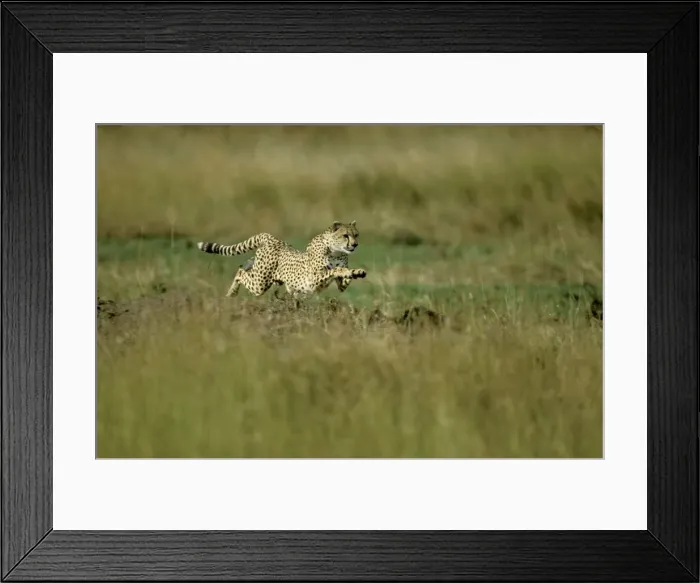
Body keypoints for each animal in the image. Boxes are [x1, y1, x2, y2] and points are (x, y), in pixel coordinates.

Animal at [197, 221, 367, 298]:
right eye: (345, 235)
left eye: (356, 235)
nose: (355, 244)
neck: (336, 251)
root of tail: (272, 238)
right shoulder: (313, 279)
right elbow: (335, 269)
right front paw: (344, 270)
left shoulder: (340, 285)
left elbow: (345, 275)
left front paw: (357, 272)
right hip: (260, 283)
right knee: (239, 272)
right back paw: (232, 293)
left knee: (243, 266)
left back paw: (231, 292)